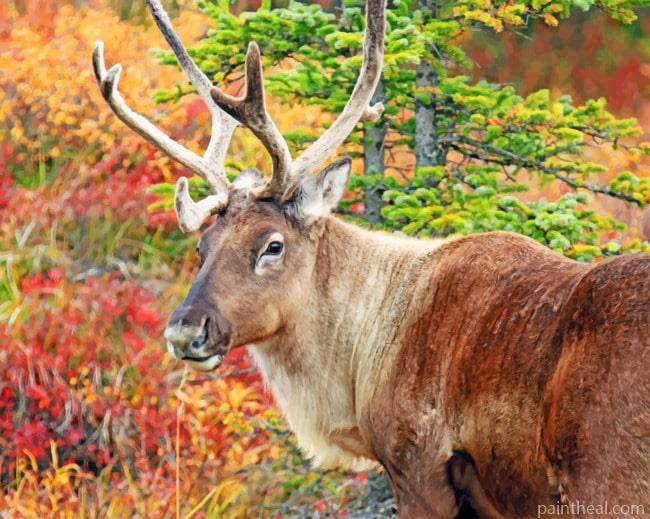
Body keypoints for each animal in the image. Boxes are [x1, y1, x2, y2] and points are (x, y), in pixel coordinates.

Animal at [93, 0, 650, 517]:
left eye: (273, 244)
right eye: (202, 246)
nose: (184, 330)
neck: (360, 361)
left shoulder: (418, 467)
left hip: (605, 480)